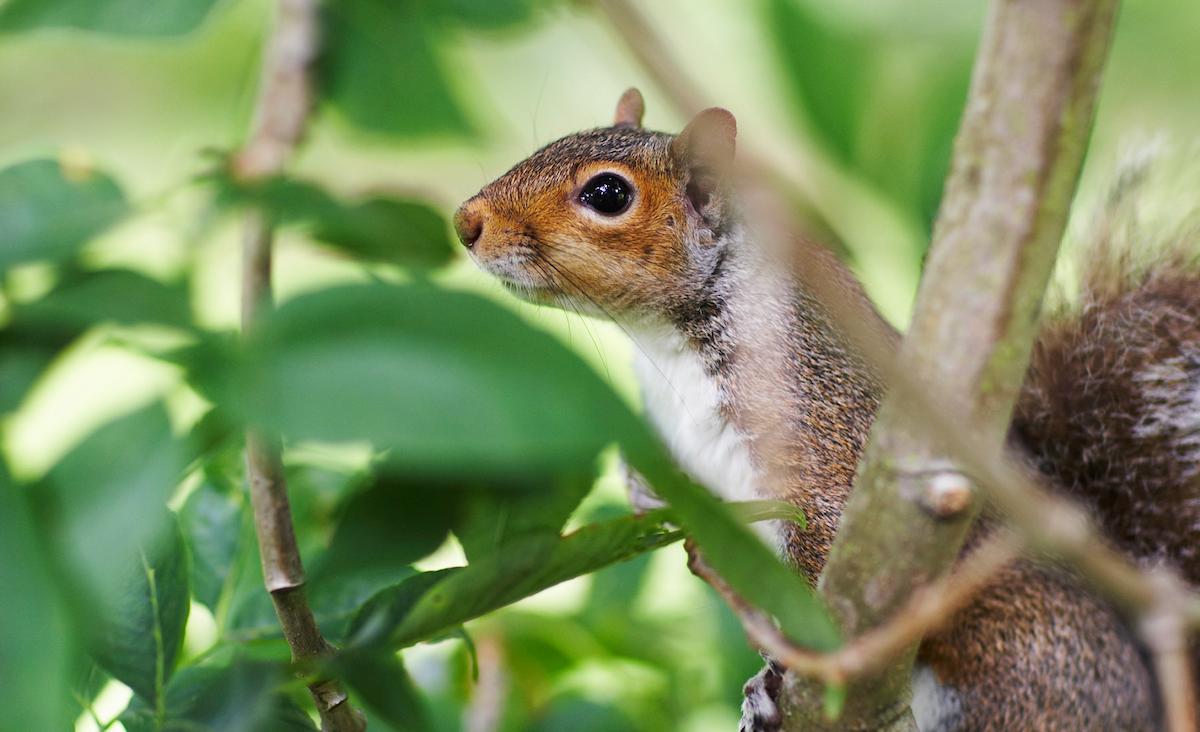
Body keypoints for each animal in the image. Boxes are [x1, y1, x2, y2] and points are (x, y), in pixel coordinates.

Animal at [454, 89, 1200, 731]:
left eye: (607, 193)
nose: (466, 222)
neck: (667, 342)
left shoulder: (823, 423)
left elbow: (822, 549)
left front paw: (780, 676)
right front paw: (641, 489)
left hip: (1015, 667)